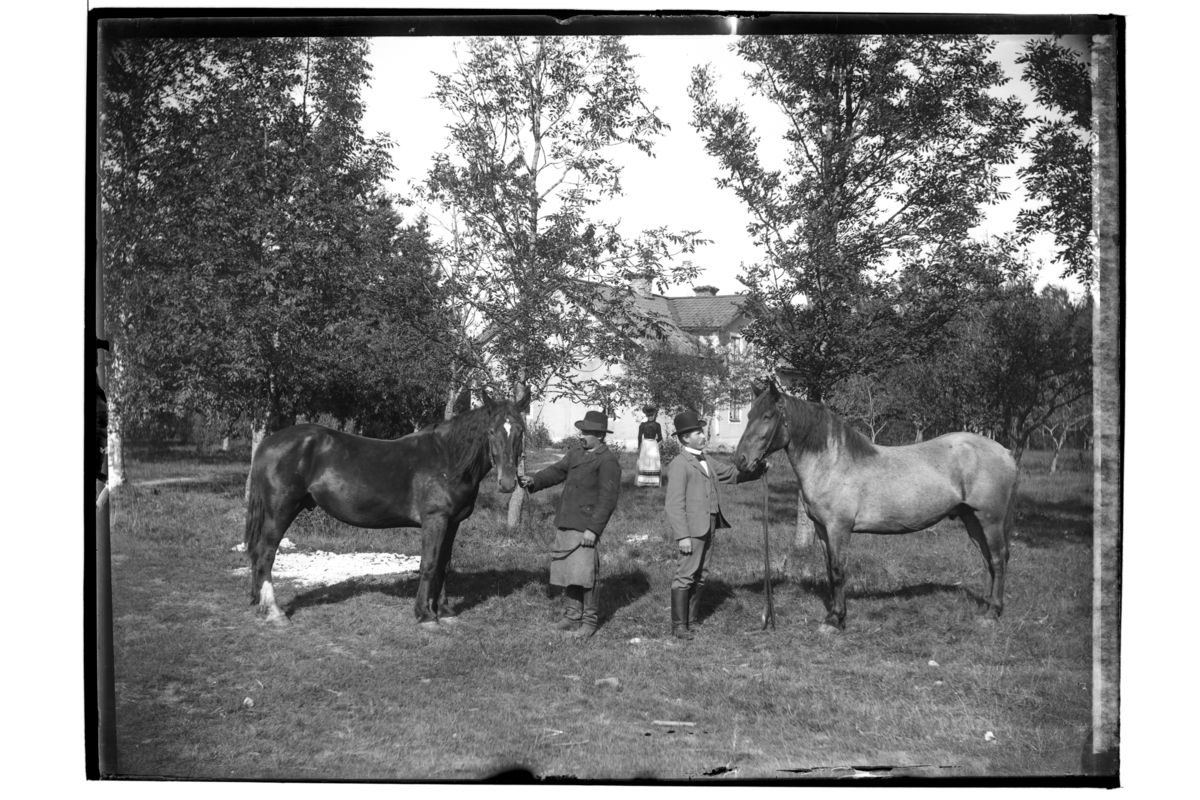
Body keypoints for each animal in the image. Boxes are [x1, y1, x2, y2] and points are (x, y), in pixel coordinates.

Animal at [244, 385, 530, 630]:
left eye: (521, 431)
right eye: (491, 431)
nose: (507, 483)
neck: (448, 458)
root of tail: (268, 443)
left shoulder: (452, 523)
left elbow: (444, 565)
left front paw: (445, 612)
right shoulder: (434, 521)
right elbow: (429, 565)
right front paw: (425, 616)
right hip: (281, 511)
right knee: (266, 554)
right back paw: (275, 612)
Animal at [734, 379, 1019, 632]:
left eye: (768, 416)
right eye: (748, 415)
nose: (741, 460)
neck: (832, 463)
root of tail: (1005, 452)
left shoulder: (839, 528)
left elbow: (838, 570)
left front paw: (835, 621)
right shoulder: (822, 529)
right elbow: (829, 569)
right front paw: (833, 615)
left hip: (990, 519)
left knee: (998, 559)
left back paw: (992, 613)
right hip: (971, 519)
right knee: (987, 559)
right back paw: (984, 608)